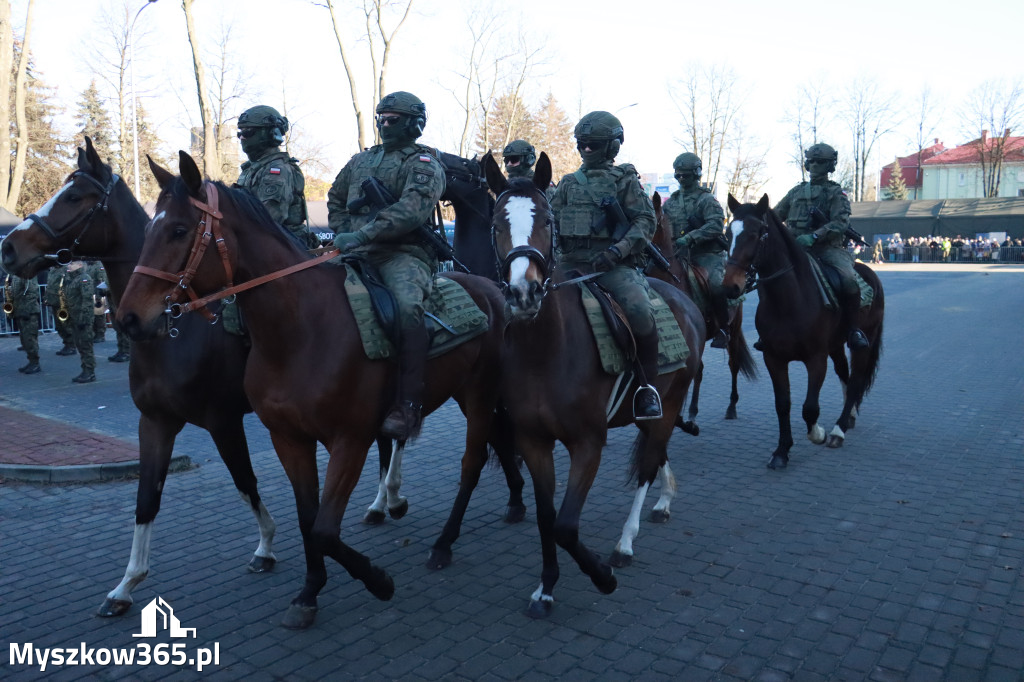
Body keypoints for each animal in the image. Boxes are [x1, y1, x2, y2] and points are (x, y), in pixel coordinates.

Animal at [0, 138, 280, 614]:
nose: (9, 247)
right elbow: (146, 499)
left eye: (75, 196)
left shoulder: (224, 421)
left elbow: (246, 481)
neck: (173, 331)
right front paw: (126, 585)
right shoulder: (155, 423)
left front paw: (265, 545)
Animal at [116, 150, 512, 626]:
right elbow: (308, 518)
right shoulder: (286, 438)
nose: (129, 318)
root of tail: (489, 286)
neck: (300, 331)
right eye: (149, 229)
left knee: (471, 462)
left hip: (480, 395)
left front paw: (379, 581)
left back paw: (442, 542)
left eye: (178, 230)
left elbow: (324, 527)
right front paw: (310, 590)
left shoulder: (347, 440)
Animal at [479, 150, 704, 614]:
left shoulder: (588, 443)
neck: (546, 351)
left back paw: (625, 543)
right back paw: (664, 500)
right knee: (655, 452)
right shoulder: (533, 441)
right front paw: (546, 586)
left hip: (668, 403)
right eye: (496, 224)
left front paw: (602, 576)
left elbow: (566, 524)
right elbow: (547, 517)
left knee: (648, 464)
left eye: (547, 220)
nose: (523, 294)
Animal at [724, 191, 884, 466]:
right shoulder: (774, 358)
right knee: (844, 374)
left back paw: (839, 430)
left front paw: (817, 433)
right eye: (727, 234)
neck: (788, 300)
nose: (730, 286)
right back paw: (850, 416)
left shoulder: (816, 359)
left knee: (855, 380)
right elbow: (783, 404)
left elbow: (810, 408)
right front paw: (781, 450)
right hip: (836, 345)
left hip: (864, 341)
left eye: (757, 233)